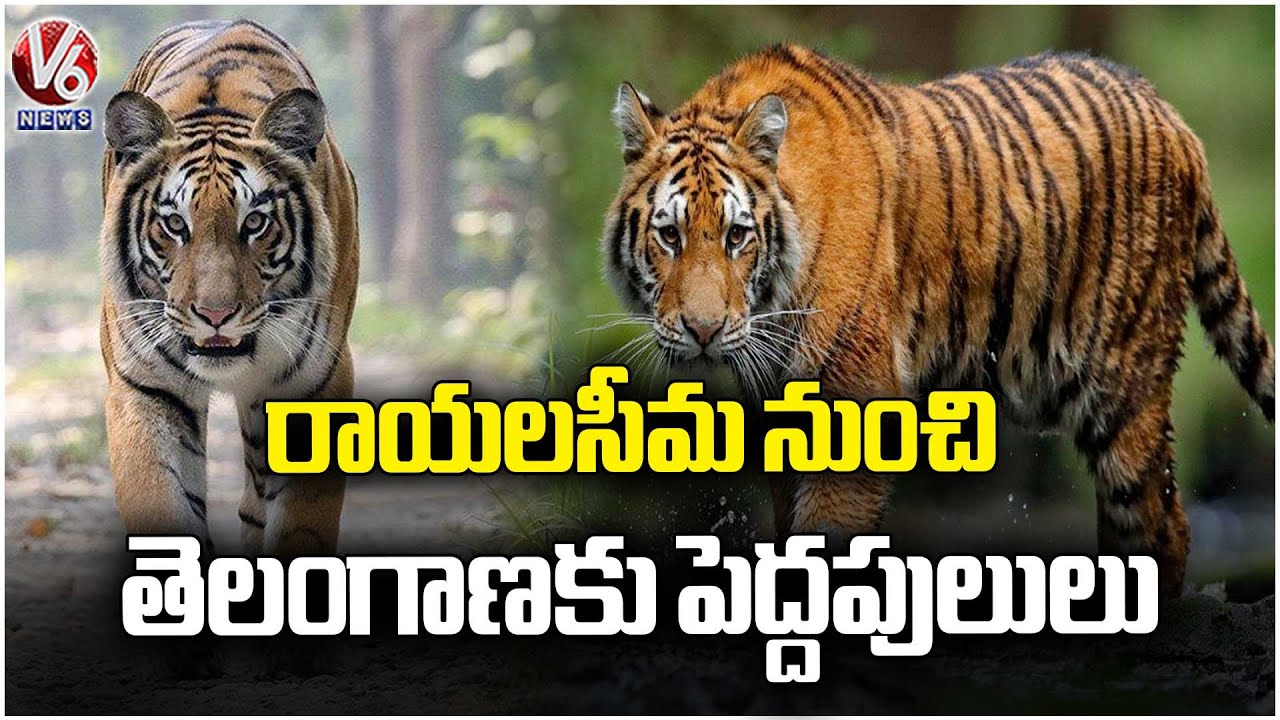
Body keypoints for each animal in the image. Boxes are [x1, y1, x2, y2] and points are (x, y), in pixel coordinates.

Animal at [99, 20, 358, 557]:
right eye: (175, 224)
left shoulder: (315, 383)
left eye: (255, 222)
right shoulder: (147, 387)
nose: (215, 315)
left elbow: (300, 523)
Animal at [602, 44, 1274, 595]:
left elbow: (828, 536)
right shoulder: (777, 408)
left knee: (1162, 521)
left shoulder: (854, 396)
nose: (704, 330)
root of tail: (1171, 114)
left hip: (1123, 384)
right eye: (669, 235)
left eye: (737, 236)